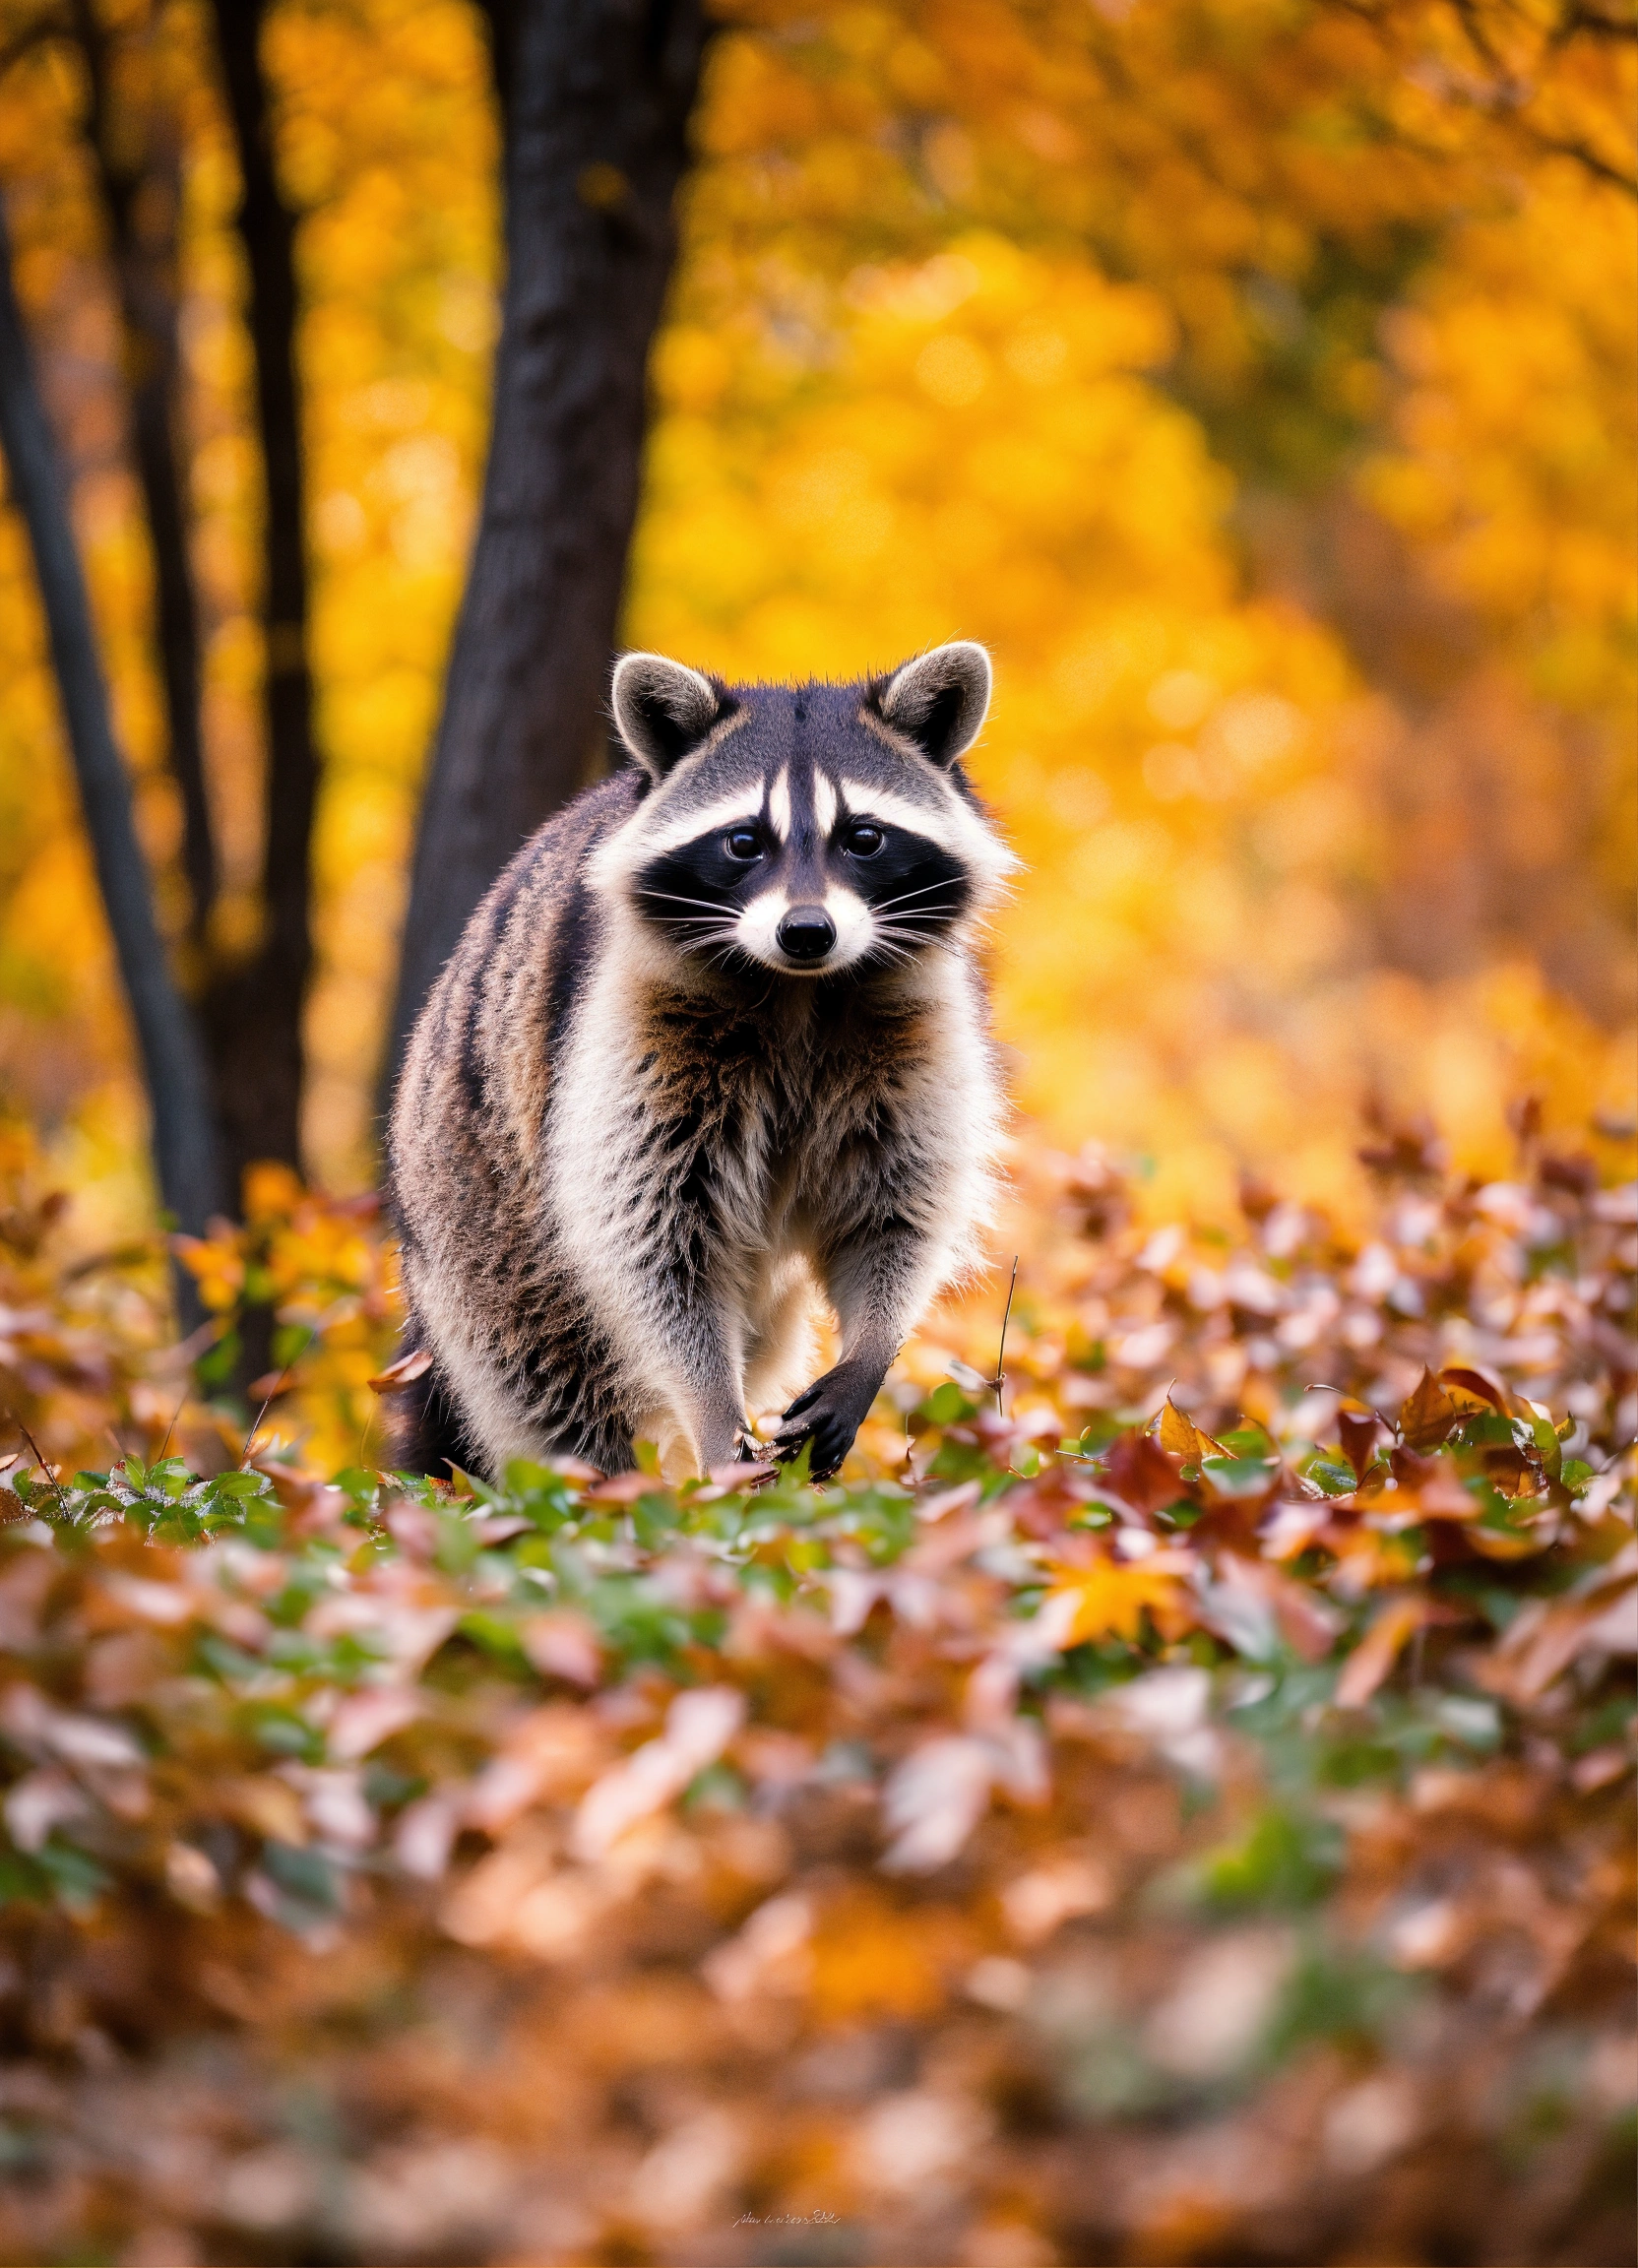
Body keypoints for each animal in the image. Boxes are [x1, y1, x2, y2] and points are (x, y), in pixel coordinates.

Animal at [388, 640, 1014, 1483]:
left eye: (864, 838)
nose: (806, 931)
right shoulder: (624, 1029)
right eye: (744, 842)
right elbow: (650, 1239)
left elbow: (898, 1208)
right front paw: (712, 1409)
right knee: (549, 1380)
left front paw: (871, 1348)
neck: (799, 989)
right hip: (475, 1216)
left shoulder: (920, 1022)